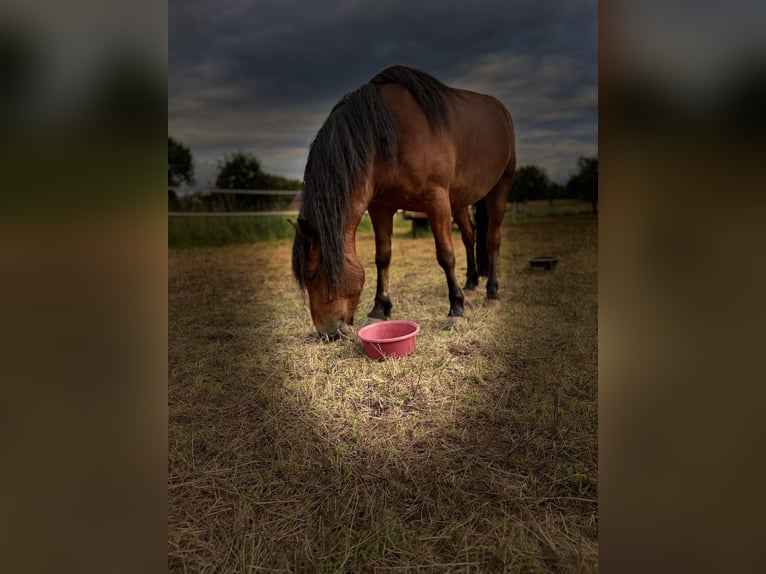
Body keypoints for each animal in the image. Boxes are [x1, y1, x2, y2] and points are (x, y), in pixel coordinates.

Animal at [290, 65, 515, 338]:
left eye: (312, 275)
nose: (328, 333)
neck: (387, 135)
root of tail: (500, 110)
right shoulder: (381, 207)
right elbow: (382, 256)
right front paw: (379, 309)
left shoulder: (436, 200)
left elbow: (446, 255)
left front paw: (456, 311)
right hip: (460, 201)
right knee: (469, 235)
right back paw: (471, 283)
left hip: (499, 187)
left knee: (492, 239)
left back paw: (492, 293)